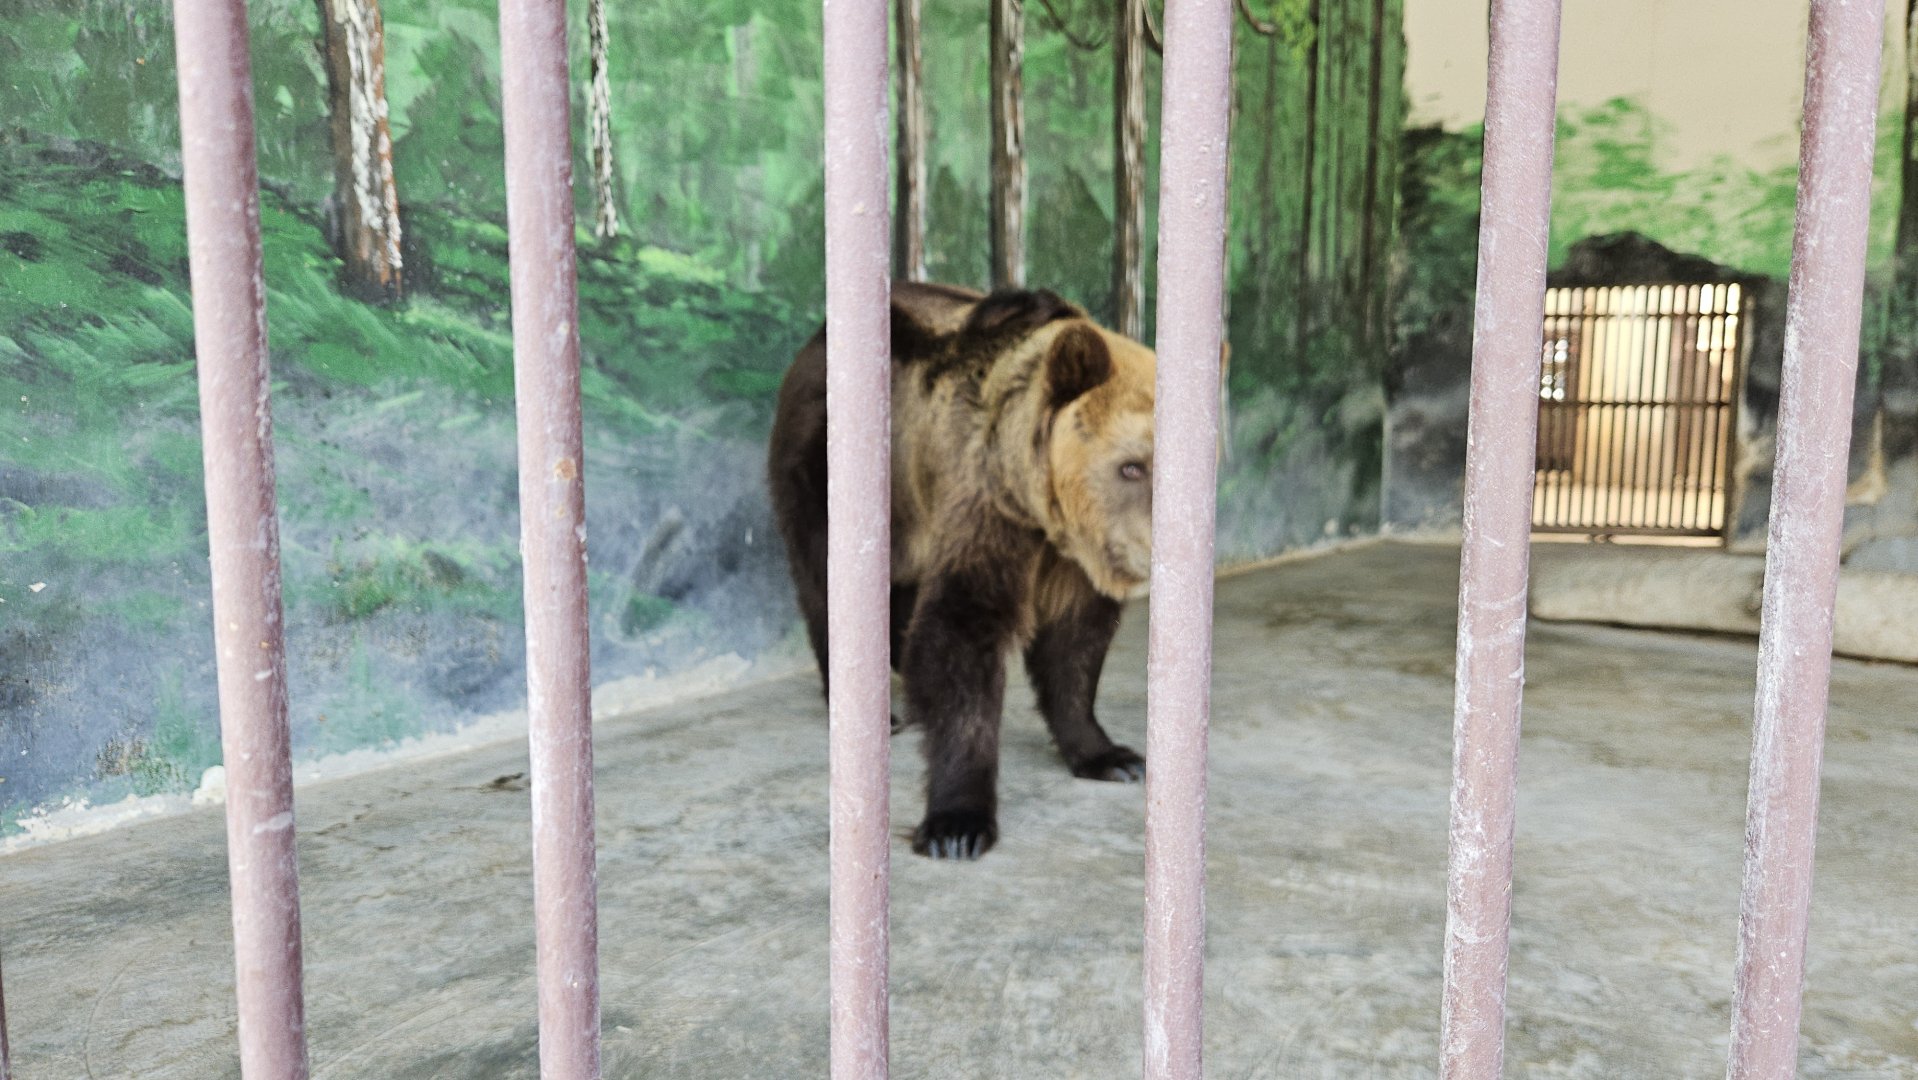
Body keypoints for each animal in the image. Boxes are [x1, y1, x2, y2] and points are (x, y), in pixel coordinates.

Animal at [767, 281, 1158, 860]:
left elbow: (1074, 647)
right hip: (827, 468)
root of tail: (811, 343)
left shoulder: (1069, 559)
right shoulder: (985, 506)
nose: (1156, 551)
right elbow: (962, 635)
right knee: (825, 585)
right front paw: (957, 823)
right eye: (1131, 466)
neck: (1039, 506)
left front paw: (1111, 755)